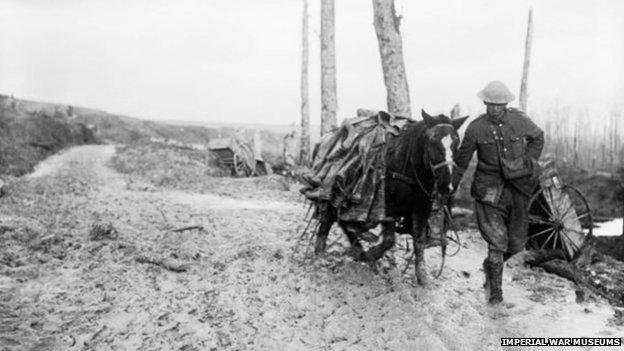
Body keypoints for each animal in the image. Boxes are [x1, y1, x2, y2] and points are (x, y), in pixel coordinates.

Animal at [314, 110, 466, 286]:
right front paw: (371, 255)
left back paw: (354, 249)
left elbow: (419, 241)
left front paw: (422, 276)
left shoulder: (422, 208)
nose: (448, 185)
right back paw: (322, 254)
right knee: (331, 220)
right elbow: (389, 240)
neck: (406, 165)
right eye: (433, 141)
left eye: (457, 144)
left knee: (343, 223)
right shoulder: (388, 207)